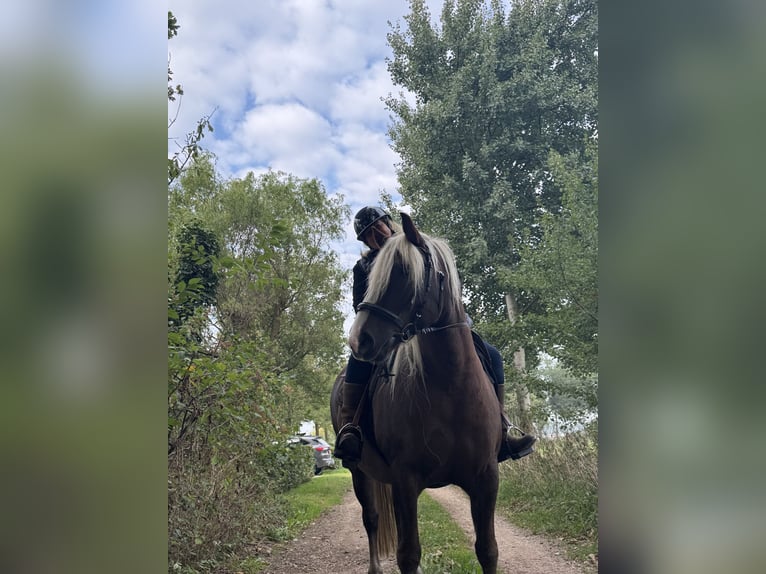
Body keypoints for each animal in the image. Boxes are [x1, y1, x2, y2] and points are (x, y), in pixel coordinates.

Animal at [331, 212, 503, 574]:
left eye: (404, 273)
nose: (359, 340)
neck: (451, 389)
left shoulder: (486, 478)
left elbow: (488, 550)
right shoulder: (405, 481)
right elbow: (408, 553)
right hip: (359, 471)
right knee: (372, 518)